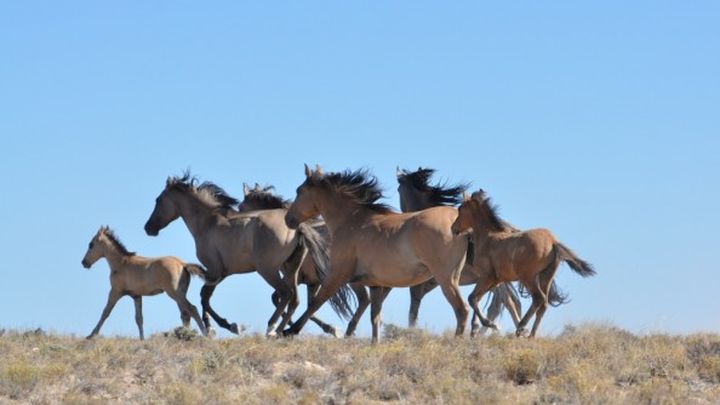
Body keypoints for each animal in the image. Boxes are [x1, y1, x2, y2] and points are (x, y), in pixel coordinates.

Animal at [238, 183, 366, 334]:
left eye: (240, 208)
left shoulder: (295, 277)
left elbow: (281, 298)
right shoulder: (312, 283)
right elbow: (309, 305)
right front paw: (328, 328)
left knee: (364, 299)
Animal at [282, 164, 472, 340]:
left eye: (299, 191)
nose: (287, 219)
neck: (353, 222)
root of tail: (457, 223)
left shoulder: (337, 274)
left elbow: (316, 302)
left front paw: (290, 331)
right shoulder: (376, 284)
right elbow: (375, 317)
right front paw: (375, 343)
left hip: (445, 277)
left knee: (462, 309)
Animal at [450, 191, 596, 336]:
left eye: (461, 209)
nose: (453, 228)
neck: (488, 237)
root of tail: (553, 242)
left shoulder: (487, 277)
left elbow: (472, 298)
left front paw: (489, 324)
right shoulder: (495, 281)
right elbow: (477, 298)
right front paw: (482, 326)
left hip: (528, 277)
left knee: (538, 299)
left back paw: (521, 327)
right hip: (545, 277)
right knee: (543, 303)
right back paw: (531, 335)